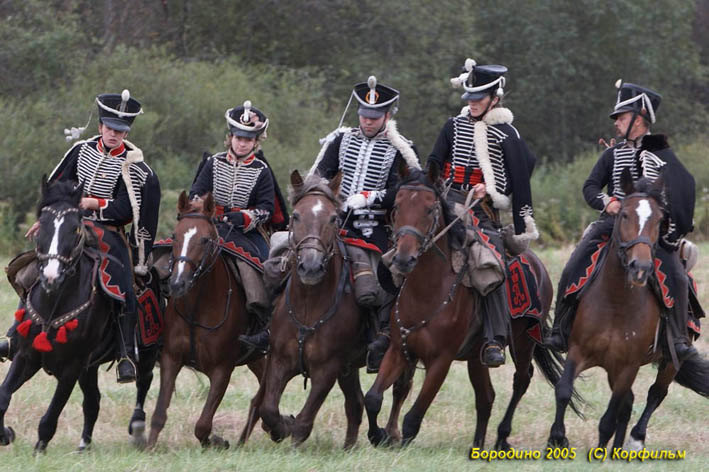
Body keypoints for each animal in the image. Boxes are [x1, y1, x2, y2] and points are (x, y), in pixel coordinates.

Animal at [0, 179, 159, 452]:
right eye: (41, 225)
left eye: (75, 229)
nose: (51, 277)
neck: (55, 303)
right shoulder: (26, 355)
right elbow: (3, 396)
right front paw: (6, 434)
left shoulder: (72, 366)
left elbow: (51, 414)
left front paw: (39, 448)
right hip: (90, 368)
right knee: (93, 400)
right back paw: (84, 444)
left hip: (147, 353)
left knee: (143, 382)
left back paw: (137, 426)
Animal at [147, 190, 266, 448]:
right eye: (175, 235)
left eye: (205, 240)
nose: (177, 283)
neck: (197, 308)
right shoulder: (170, 359)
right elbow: (159, 413)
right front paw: (148, 446)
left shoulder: (223, 370)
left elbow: (202, 425)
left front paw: (218, 441)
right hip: (256, 359)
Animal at [366, 166, 576, 450]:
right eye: (397, 206)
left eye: (430, 209)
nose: (403, 259)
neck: (427, 292)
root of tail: (537, 265)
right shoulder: (400, 351)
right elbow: (373, 398)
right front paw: (378, 435)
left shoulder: (441, 361)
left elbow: (413, 418)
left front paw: (395, 439)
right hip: (477, 357)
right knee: (486, 397)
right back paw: (477, 446)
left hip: (523, 343)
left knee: (521, 380)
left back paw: (502, 437)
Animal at [548, 171, 708, 452]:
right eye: (623, 214)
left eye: (659, 220)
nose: (640, 268)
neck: (616, 303)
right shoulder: (578, 351)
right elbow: (564, 390)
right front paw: (556, 439)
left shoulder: (627, 367)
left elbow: (609, 417)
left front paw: (600, 450)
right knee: (630, 402)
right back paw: (618, 448)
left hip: (670, 361)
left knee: (655, 394)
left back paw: (635, 440)